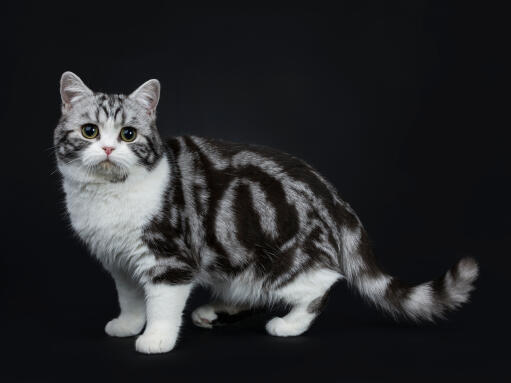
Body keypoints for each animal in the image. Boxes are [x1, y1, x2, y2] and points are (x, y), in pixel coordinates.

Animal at [55, 71, 480, 354]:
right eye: (90, 131)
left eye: (128, 134)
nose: (108, 149)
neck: (109, 196)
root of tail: (332, 196)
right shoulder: (120, 262)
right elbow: (130, 297)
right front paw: (128, 325)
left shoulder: (169, 259)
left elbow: (161, 302)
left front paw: (156, 338)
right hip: (236, 266)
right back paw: (216, 311)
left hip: (278, 262)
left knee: (323, 281)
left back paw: (289, 324)